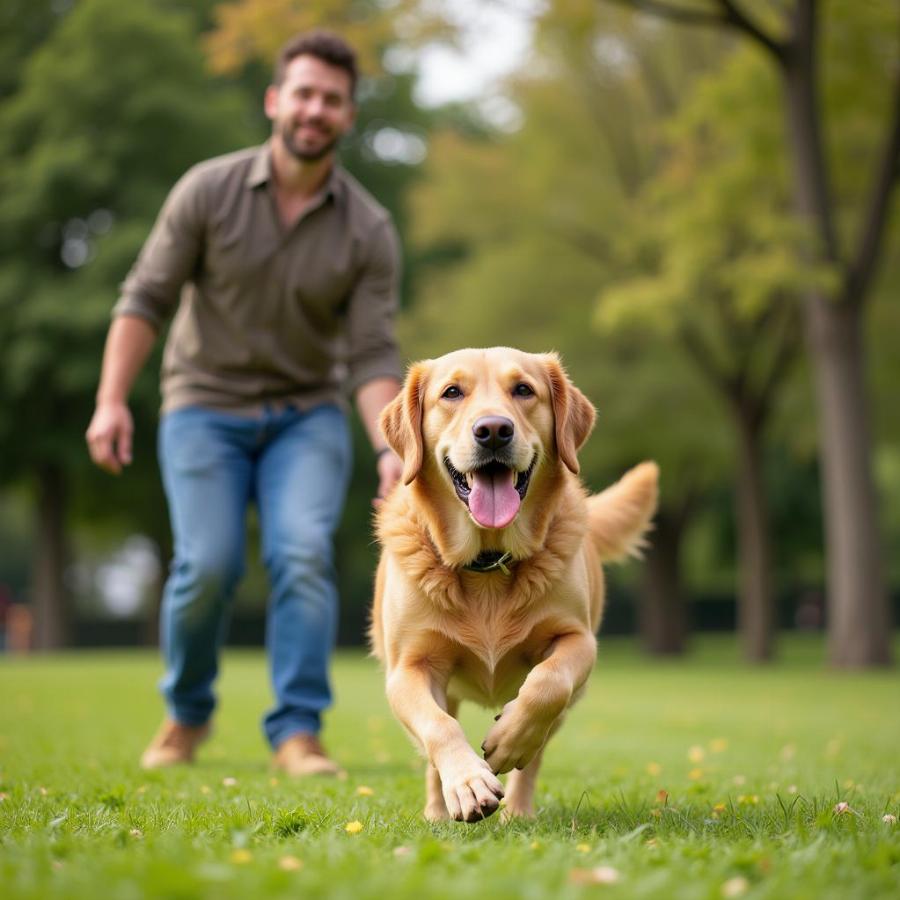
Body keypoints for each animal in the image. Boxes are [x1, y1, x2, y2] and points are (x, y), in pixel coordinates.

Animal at [370, 346, 656, 824]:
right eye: (452, 392)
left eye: (523, 389)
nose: (493, 431)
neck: (486, 563)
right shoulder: (408, 667)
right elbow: (439, 727)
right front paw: (468, 784)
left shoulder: (579, 641)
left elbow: (546, 684)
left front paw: (508, 741)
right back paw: (438, 811)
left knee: (537, 750)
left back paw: (518, 809)